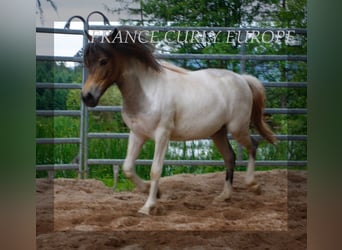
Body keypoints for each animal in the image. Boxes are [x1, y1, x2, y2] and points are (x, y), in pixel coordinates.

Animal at [82, 26, 278, 215]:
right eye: (87, 62)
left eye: (103, 61)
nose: (87, 97)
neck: (148, 92)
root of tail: (242, 79)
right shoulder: (137, 134)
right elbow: (128, 168)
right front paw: (154, 193)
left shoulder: (162, 135)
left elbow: (155, 170)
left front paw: (148, 206)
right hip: (218, 132)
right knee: (230, 157)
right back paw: (224, 196)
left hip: (237, 128)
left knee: (253, 145)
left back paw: (253, 185)